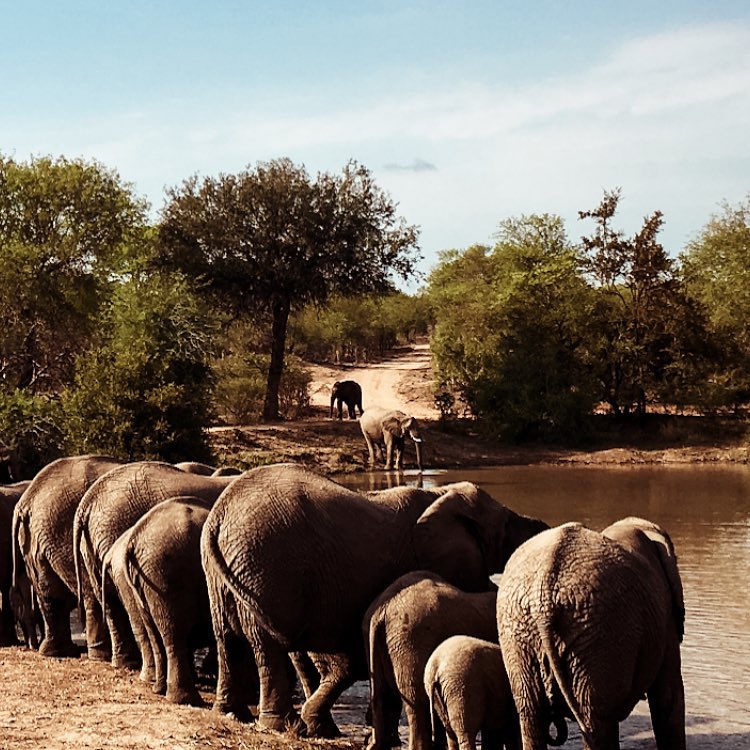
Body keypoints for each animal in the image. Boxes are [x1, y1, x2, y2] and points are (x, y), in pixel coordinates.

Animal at [12, 455, 125, 658]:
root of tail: (27, 501)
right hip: (62, 534)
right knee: (88, 591)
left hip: (40, 535)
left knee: (50, 593)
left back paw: (59, 651)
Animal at [102, 496, 216, 705]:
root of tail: (132, 542)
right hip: (164, 574)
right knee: (173, 634)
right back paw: (183, 699)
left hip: (143, 578)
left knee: (151, 631)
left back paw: (157, 687)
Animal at [497, 518, 686, 750]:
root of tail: (543, 600)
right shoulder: (666, 616)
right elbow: (668, 698)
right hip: (599, 632)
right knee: (597, 721)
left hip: (522, 632)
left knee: (532, 716)